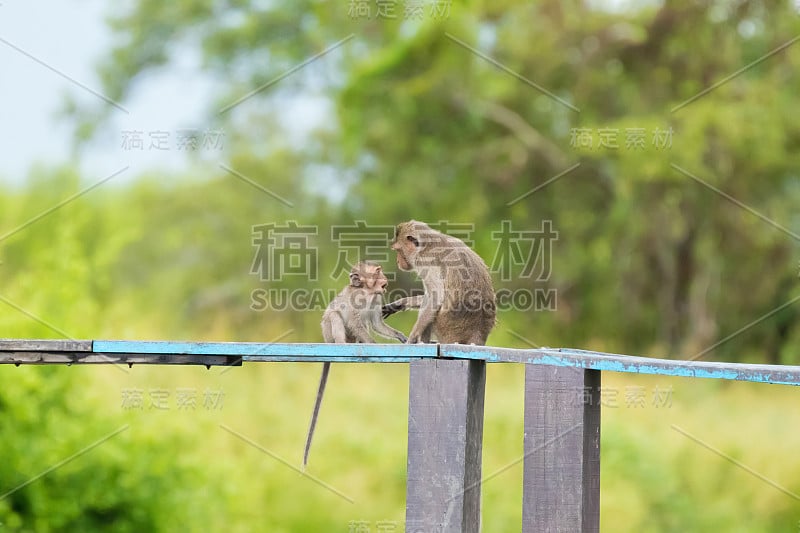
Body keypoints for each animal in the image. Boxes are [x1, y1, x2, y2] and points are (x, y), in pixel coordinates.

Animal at [304, 260, 410, 466]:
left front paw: (400, 336)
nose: (385, 278)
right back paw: (342, 344)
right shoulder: (357, 298)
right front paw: (373, 344)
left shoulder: (376, 299)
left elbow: (376, 323)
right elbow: (354, 321)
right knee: (335, 315)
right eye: (377, 273)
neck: (367, 292)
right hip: (327, 330)